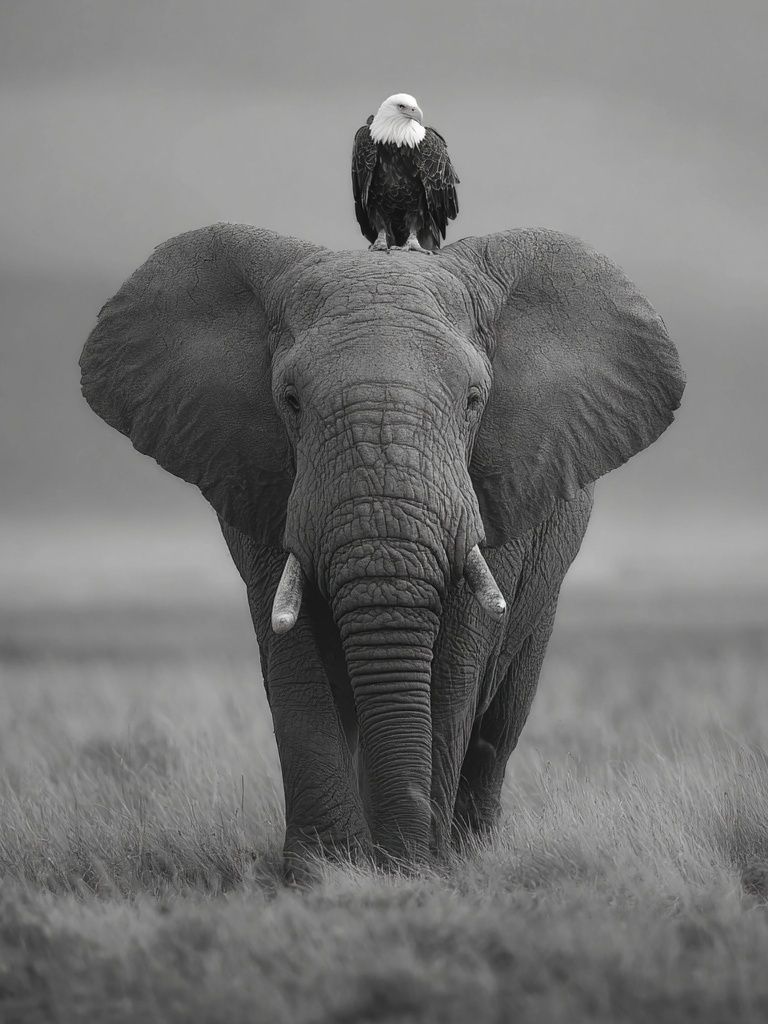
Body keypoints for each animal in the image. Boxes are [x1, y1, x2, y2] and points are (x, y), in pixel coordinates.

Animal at [80, 224, 684, 875]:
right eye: (289, 399)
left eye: (475, 398)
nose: (403, 857)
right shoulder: (261, 484)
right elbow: (295, 660)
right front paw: (322, 871)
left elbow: (453, 666)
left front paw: (421, 866)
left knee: (499, 722)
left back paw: (470, 848)